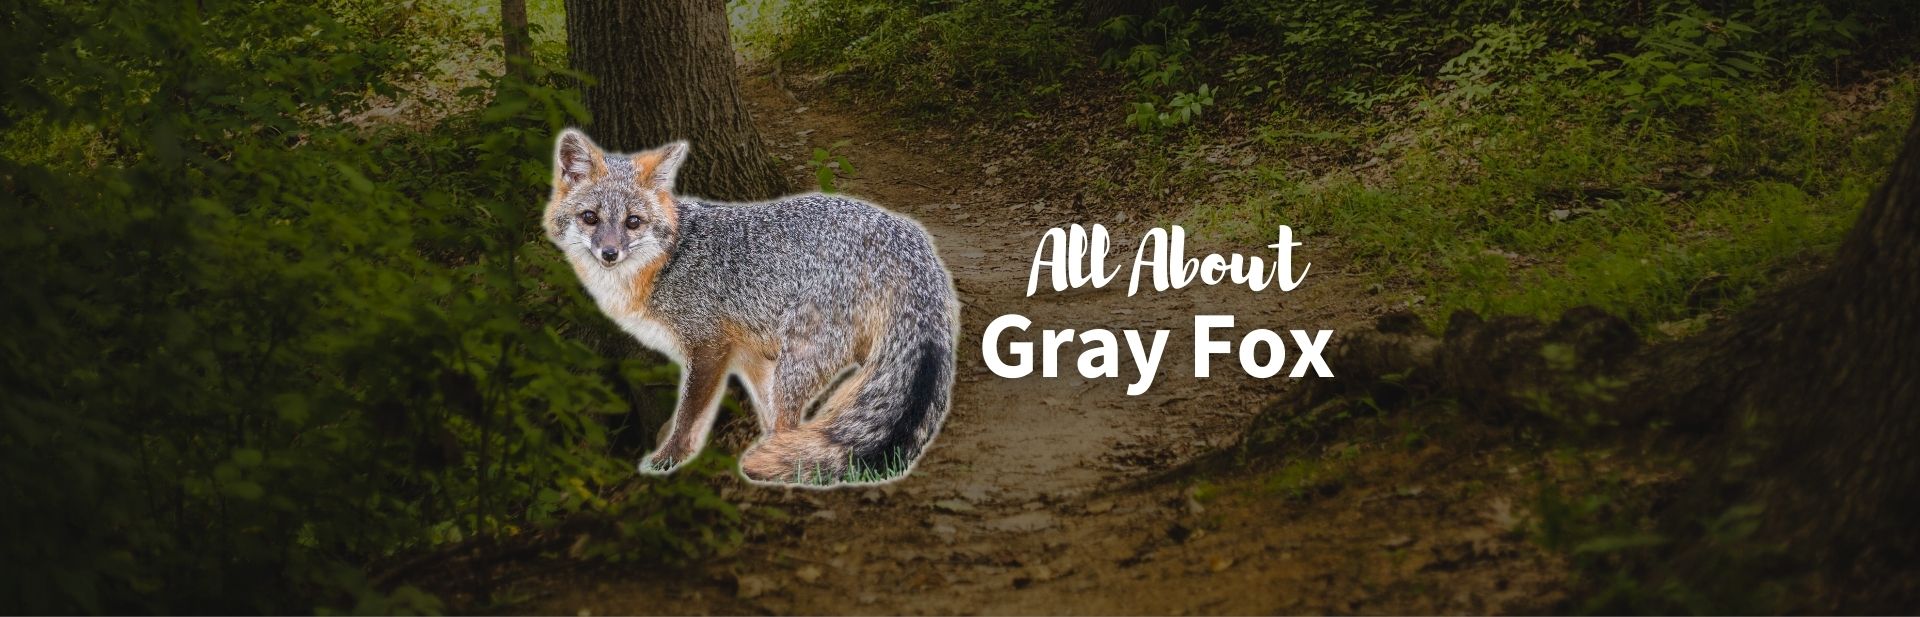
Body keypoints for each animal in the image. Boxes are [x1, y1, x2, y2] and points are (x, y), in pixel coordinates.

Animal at [542, 129, 957, 486]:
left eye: (633, 222)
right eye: (590, 218)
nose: (609, 253)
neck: (668, 260)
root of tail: (908, 237)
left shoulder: (708, 347)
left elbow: (689, 414)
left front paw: (670, 459)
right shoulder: (751, 357)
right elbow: (765, 414)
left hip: (799, 360)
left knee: (793, 420)